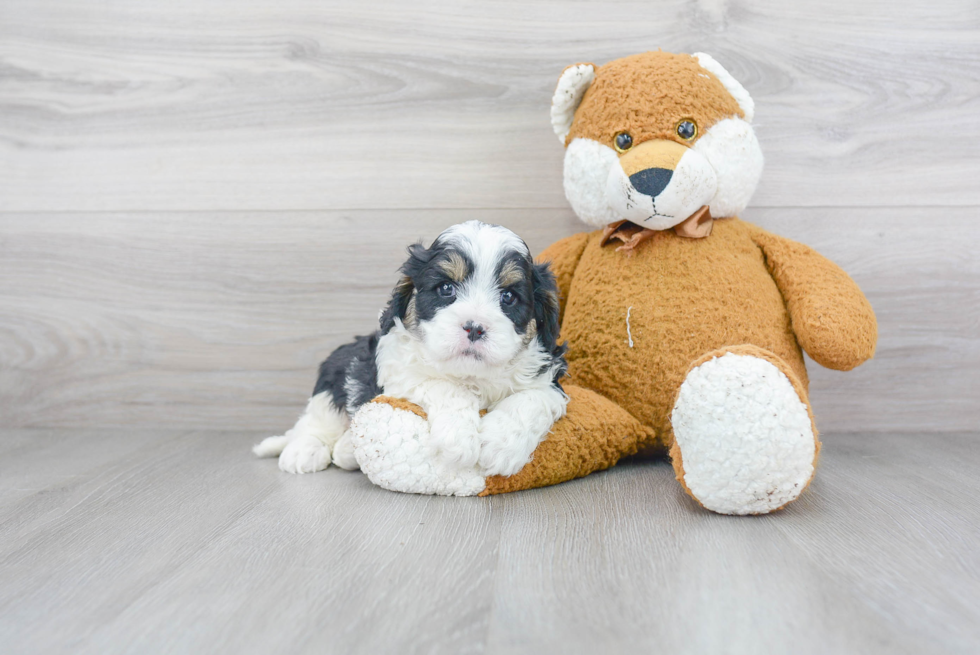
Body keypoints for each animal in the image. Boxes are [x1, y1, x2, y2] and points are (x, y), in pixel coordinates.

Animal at [255, 223, 568, 480]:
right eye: (446, 288)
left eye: (508, 297)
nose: (474, 328)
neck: (471, 375)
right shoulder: (400, 374)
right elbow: (444, 386)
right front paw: (458, 439)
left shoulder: (550, 381)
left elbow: (532, 399)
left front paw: (501, 445)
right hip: (335, 373)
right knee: (314, 421)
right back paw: (303, 451)